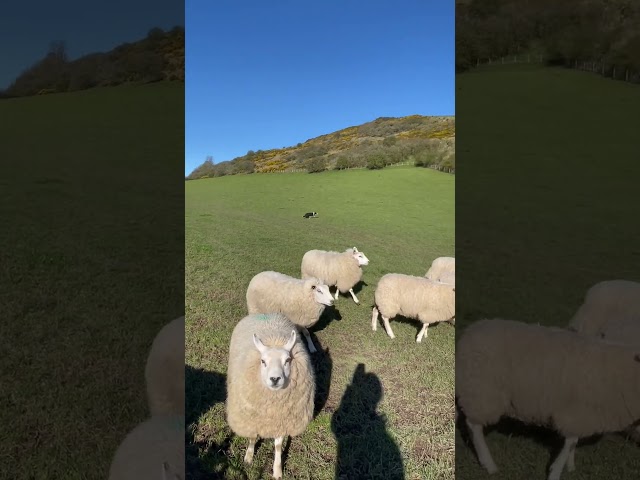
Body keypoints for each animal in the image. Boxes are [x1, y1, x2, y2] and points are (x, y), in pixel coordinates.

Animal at [226, 313, 315, 479]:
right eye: (263, 361)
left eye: (287, 360)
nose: (275, 379)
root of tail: (267, 313)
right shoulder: (252, 418)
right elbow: (252, 437)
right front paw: (248, 457)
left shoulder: (282, 419)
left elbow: (278, 446)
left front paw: (277, 470)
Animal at [456, 318, 640, 480]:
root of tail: (469, 332)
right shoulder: (576, 410)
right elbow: (570, 442)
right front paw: (556, 472)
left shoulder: (580, 415)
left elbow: (573, 441)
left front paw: (570, 466)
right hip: (482, 392)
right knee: (474, 426)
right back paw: (489, 464)